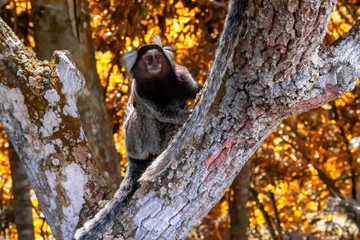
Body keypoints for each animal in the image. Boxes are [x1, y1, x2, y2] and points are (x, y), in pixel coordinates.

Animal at [74, 35, 202, 240]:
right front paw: (182, 116)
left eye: (157, 56)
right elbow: (160, 113)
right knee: (140, 115)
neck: (160, 83)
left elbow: (193, 89)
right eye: (147, 58)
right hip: (135, 142)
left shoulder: (181, 75)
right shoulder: (142, 93)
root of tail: (132, 156)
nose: (154, 63)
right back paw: (159, 145)